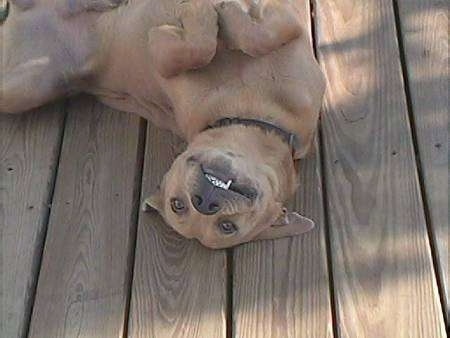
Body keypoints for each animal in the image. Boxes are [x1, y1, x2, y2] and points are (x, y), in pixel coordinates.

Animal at [2, 0, 326, 248]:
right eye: (178, 204)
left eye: (227, 226)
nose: (204, 202)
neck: (257, 112)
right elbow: (207, 48)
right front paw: (214, 13)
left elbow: (234, 41)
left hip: (26, 87)